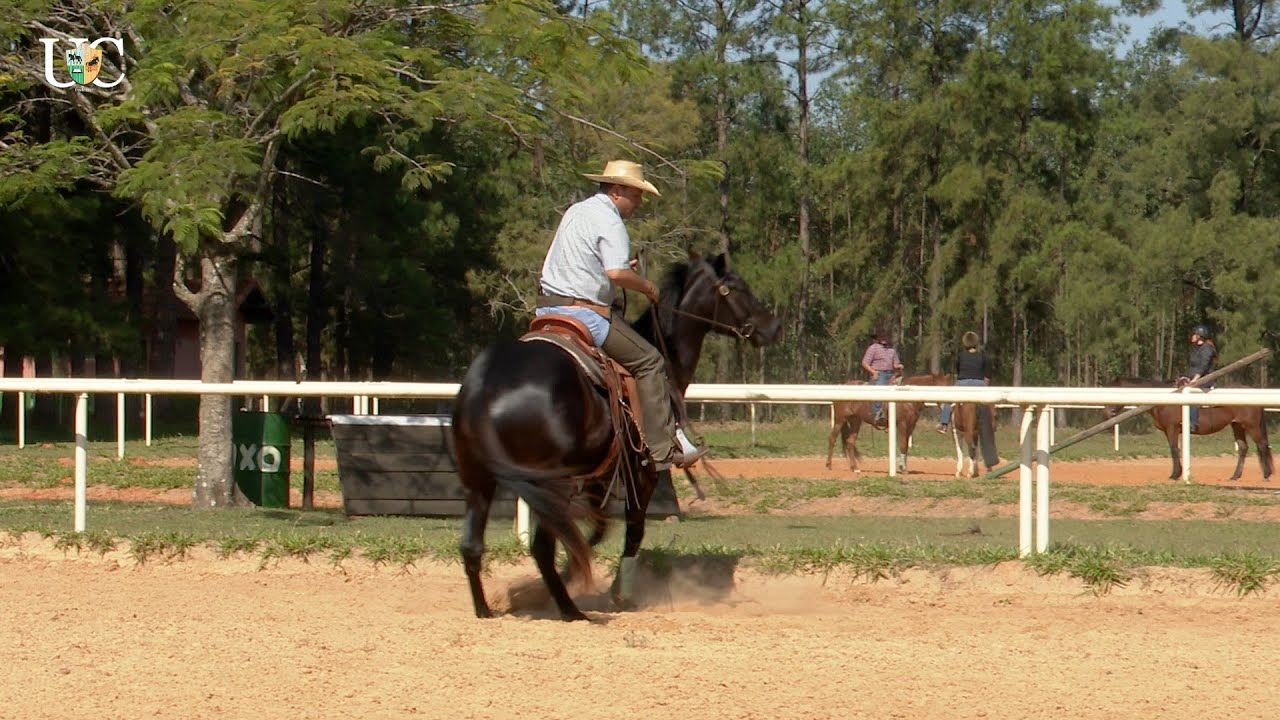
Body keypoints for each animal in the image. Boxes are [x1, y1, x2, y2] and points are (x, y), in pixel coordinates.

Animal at [452, 252, 781, 620]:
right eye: (736, 287)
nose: (773, 327)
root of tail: (485, 391)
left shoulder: (601, 474)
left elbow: (596, 529)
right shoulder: (642, 470)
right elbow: (632, 528)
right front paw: (620, 594)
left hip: (479, 480)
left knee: (473, 546)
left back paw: (487, 610)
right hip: (550, 484)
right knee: (542, 549)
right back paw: (571, 611)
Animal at [1102, 377, 1273, 482]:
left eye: (1113, 391)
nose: (1107, 413)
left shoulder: (1171, 428)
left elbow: (1173, 449)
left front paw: (1174, 474)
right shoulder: (1170, 430)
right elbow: (1176, 449)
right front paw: (1178, 473)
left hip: (1251, 425)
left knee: (1262, 445)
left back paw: (1266, 475)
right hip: (1236, 425)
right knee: (1243, 448)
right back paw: (1235, 476)